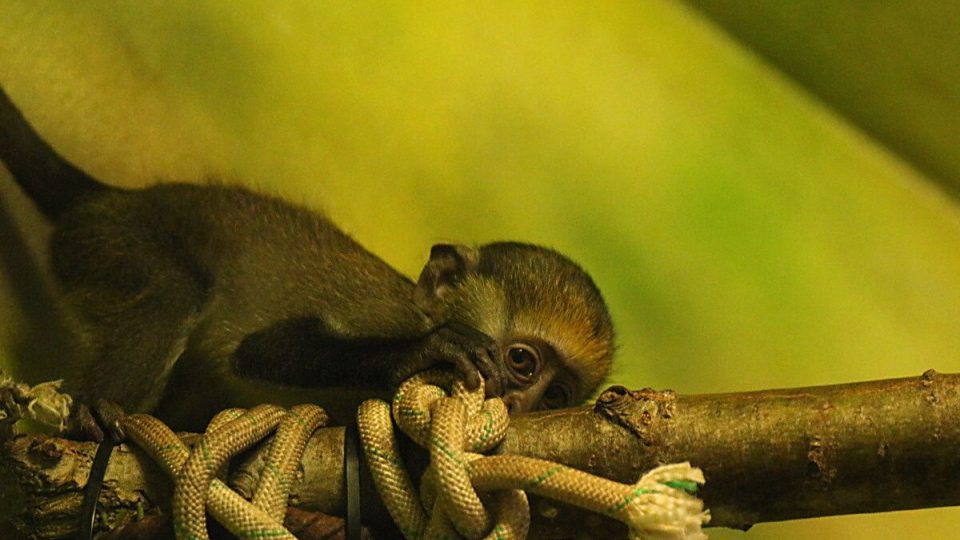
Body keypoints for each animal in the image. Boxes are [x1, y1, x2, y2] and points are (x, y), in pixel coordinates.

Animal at [0, 85, 616, 434]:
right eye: (522, 363)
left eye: (555, 397)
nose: (520, 404)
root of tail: (110, 198)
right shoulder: (380, 317)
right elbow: (262, 350)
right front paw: (424, 352)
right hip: (109, 240)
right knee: (174, 293)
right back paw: (91, 411)